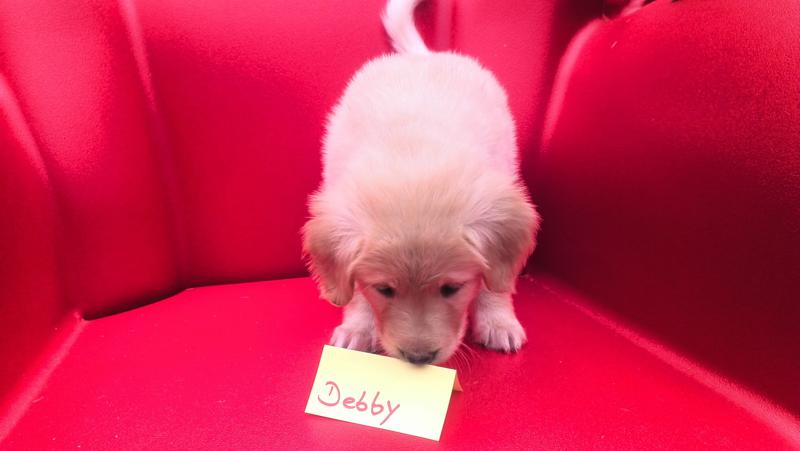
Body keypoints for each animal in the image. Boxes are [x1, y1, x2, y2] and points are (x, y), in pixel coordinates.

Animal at [302, 0, 540, 365]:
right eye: (385, 289)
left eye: (452, 288)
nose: (418, 357)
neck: (413, 156)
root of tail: (421, 56)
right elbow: (355, 292)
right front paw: (358, 328)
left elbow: (494, 283)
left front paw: (498, 321)